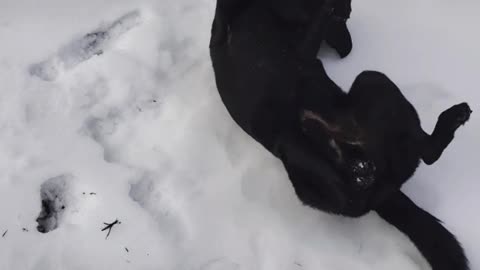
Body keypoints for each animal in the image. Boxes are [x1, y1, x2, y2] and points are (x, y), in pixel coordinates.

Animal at [209, 0, 468, 268]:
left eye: (348, 15)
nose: (347, 46)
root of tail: (380, 189)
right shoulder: (303, 45)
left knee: (421, 153)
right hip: (361, 92)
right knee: (424, 154)